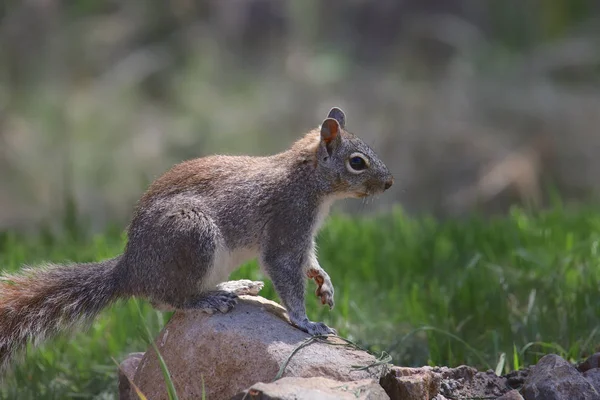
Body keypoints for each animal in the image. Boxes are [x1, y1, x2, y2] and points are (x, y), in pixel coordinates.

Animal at [0, 107, 394, 372]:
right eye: (357, 162)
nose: (390, 183)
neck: (308, 179)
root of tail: (131, 269)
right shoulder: (288, 223)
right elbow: (284, 271)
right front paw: (305, 321)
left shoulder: (304, 237)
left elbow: (309, 262)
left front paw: (323, 283)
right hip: (192, 236)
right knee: (164, 299)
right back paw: (209, 299)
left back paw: (233, 286)